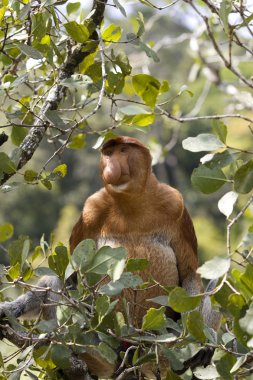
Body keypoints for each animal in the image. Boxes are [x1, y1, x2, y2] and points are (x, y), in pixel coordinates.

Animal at [0, 137, 219, 380]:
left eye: (123, 151)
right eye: (108, 153)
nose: (111, 167)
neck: (131, 202)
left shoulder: (176, 206)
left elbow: (190, 274)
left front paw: (201, 344)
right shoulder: (91, 211)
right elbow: (68, 279)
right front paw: (8, 310)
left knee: (211, 287)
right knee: (57, 285)